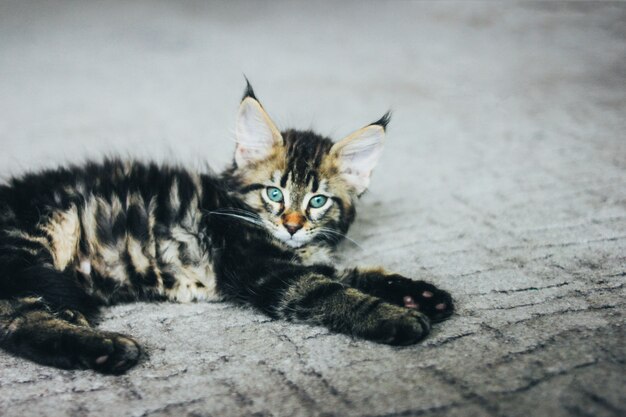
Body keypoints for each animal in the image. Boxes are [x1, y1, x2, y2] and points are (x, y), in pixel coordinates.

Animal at [0, 83, 450, 372]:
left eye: (318, 201)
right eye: (274, 193)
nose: (292, 225)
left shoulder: (300, 262)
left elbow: (356, 274)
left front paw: (422, 295)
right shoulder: (267, 272)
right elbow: (335, 293)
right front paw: (396, 318)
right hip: (31, 240)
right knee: (17, 322)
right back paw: (107, 349)